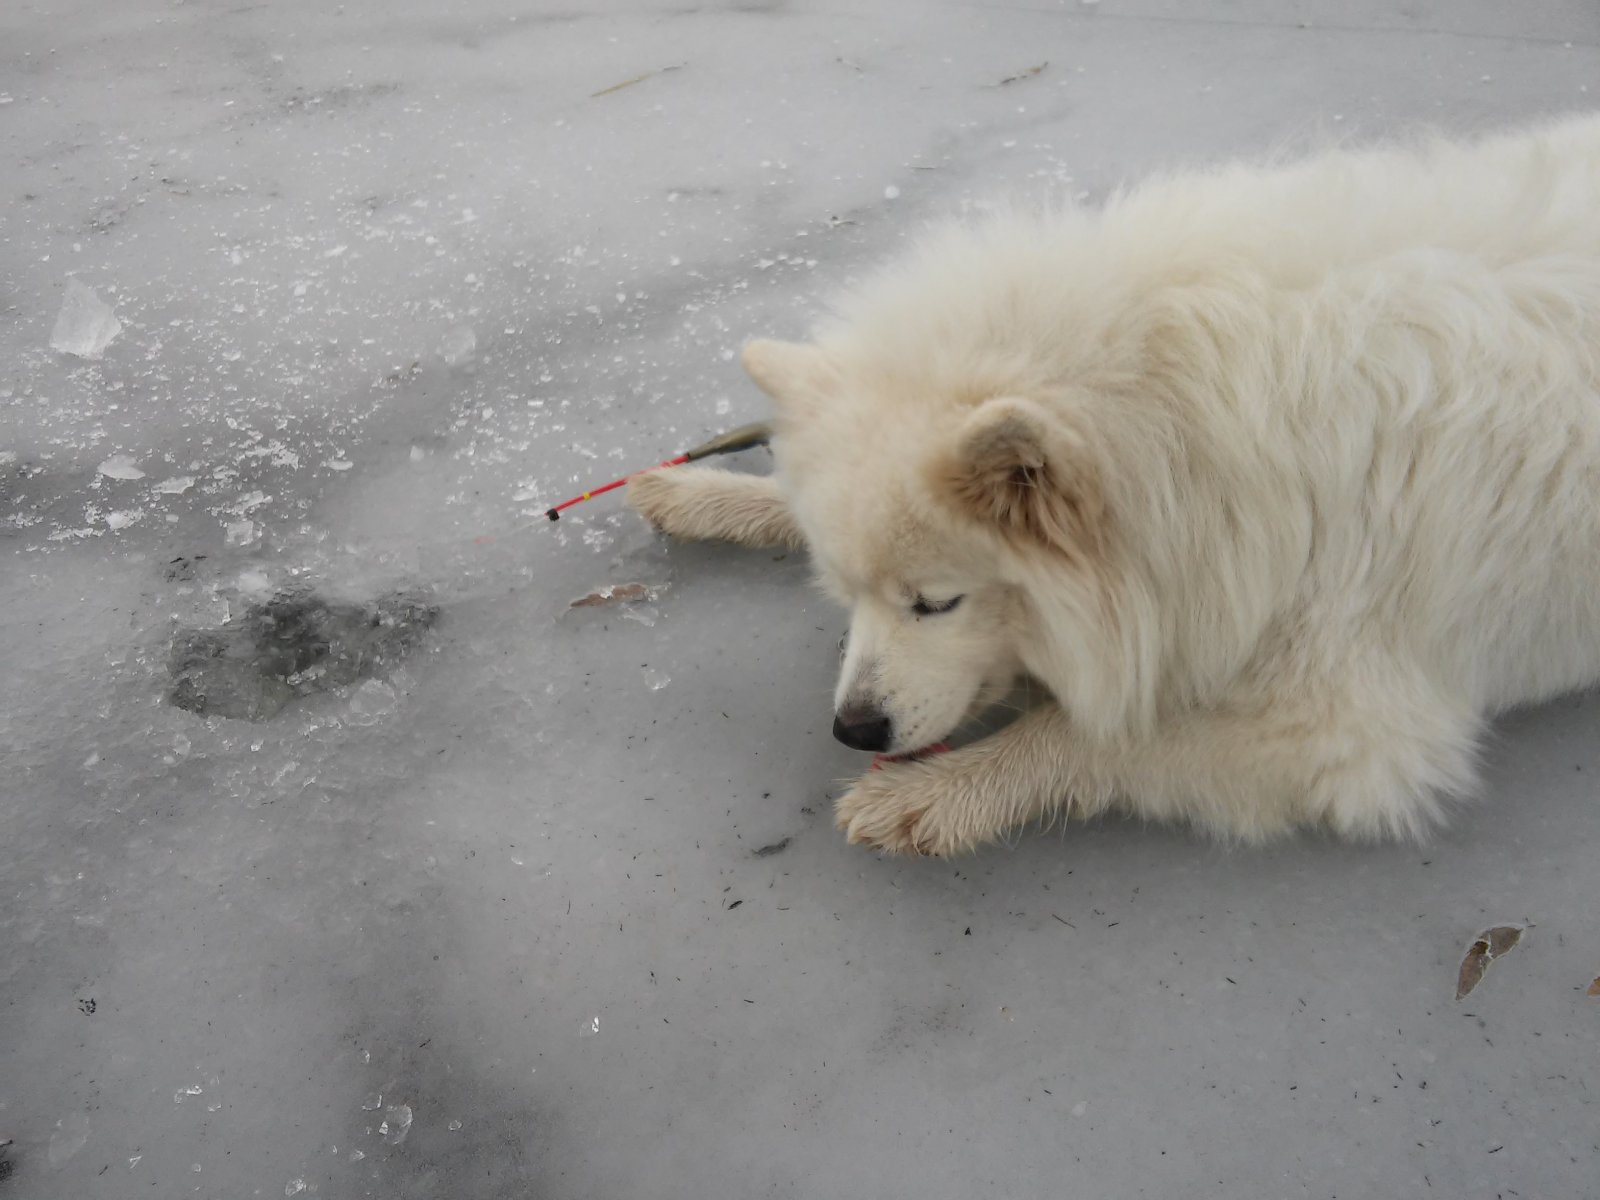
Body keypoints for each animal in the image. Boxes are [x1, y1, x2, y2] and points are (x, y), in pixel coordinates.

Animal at [627, 114, 1600, 855]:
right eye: (844, 592)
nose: (854, 730)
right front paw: (713, 494)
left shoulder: (1346, 727)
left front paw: (939, 792)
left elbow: (1095, 736)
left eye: (937, 603)